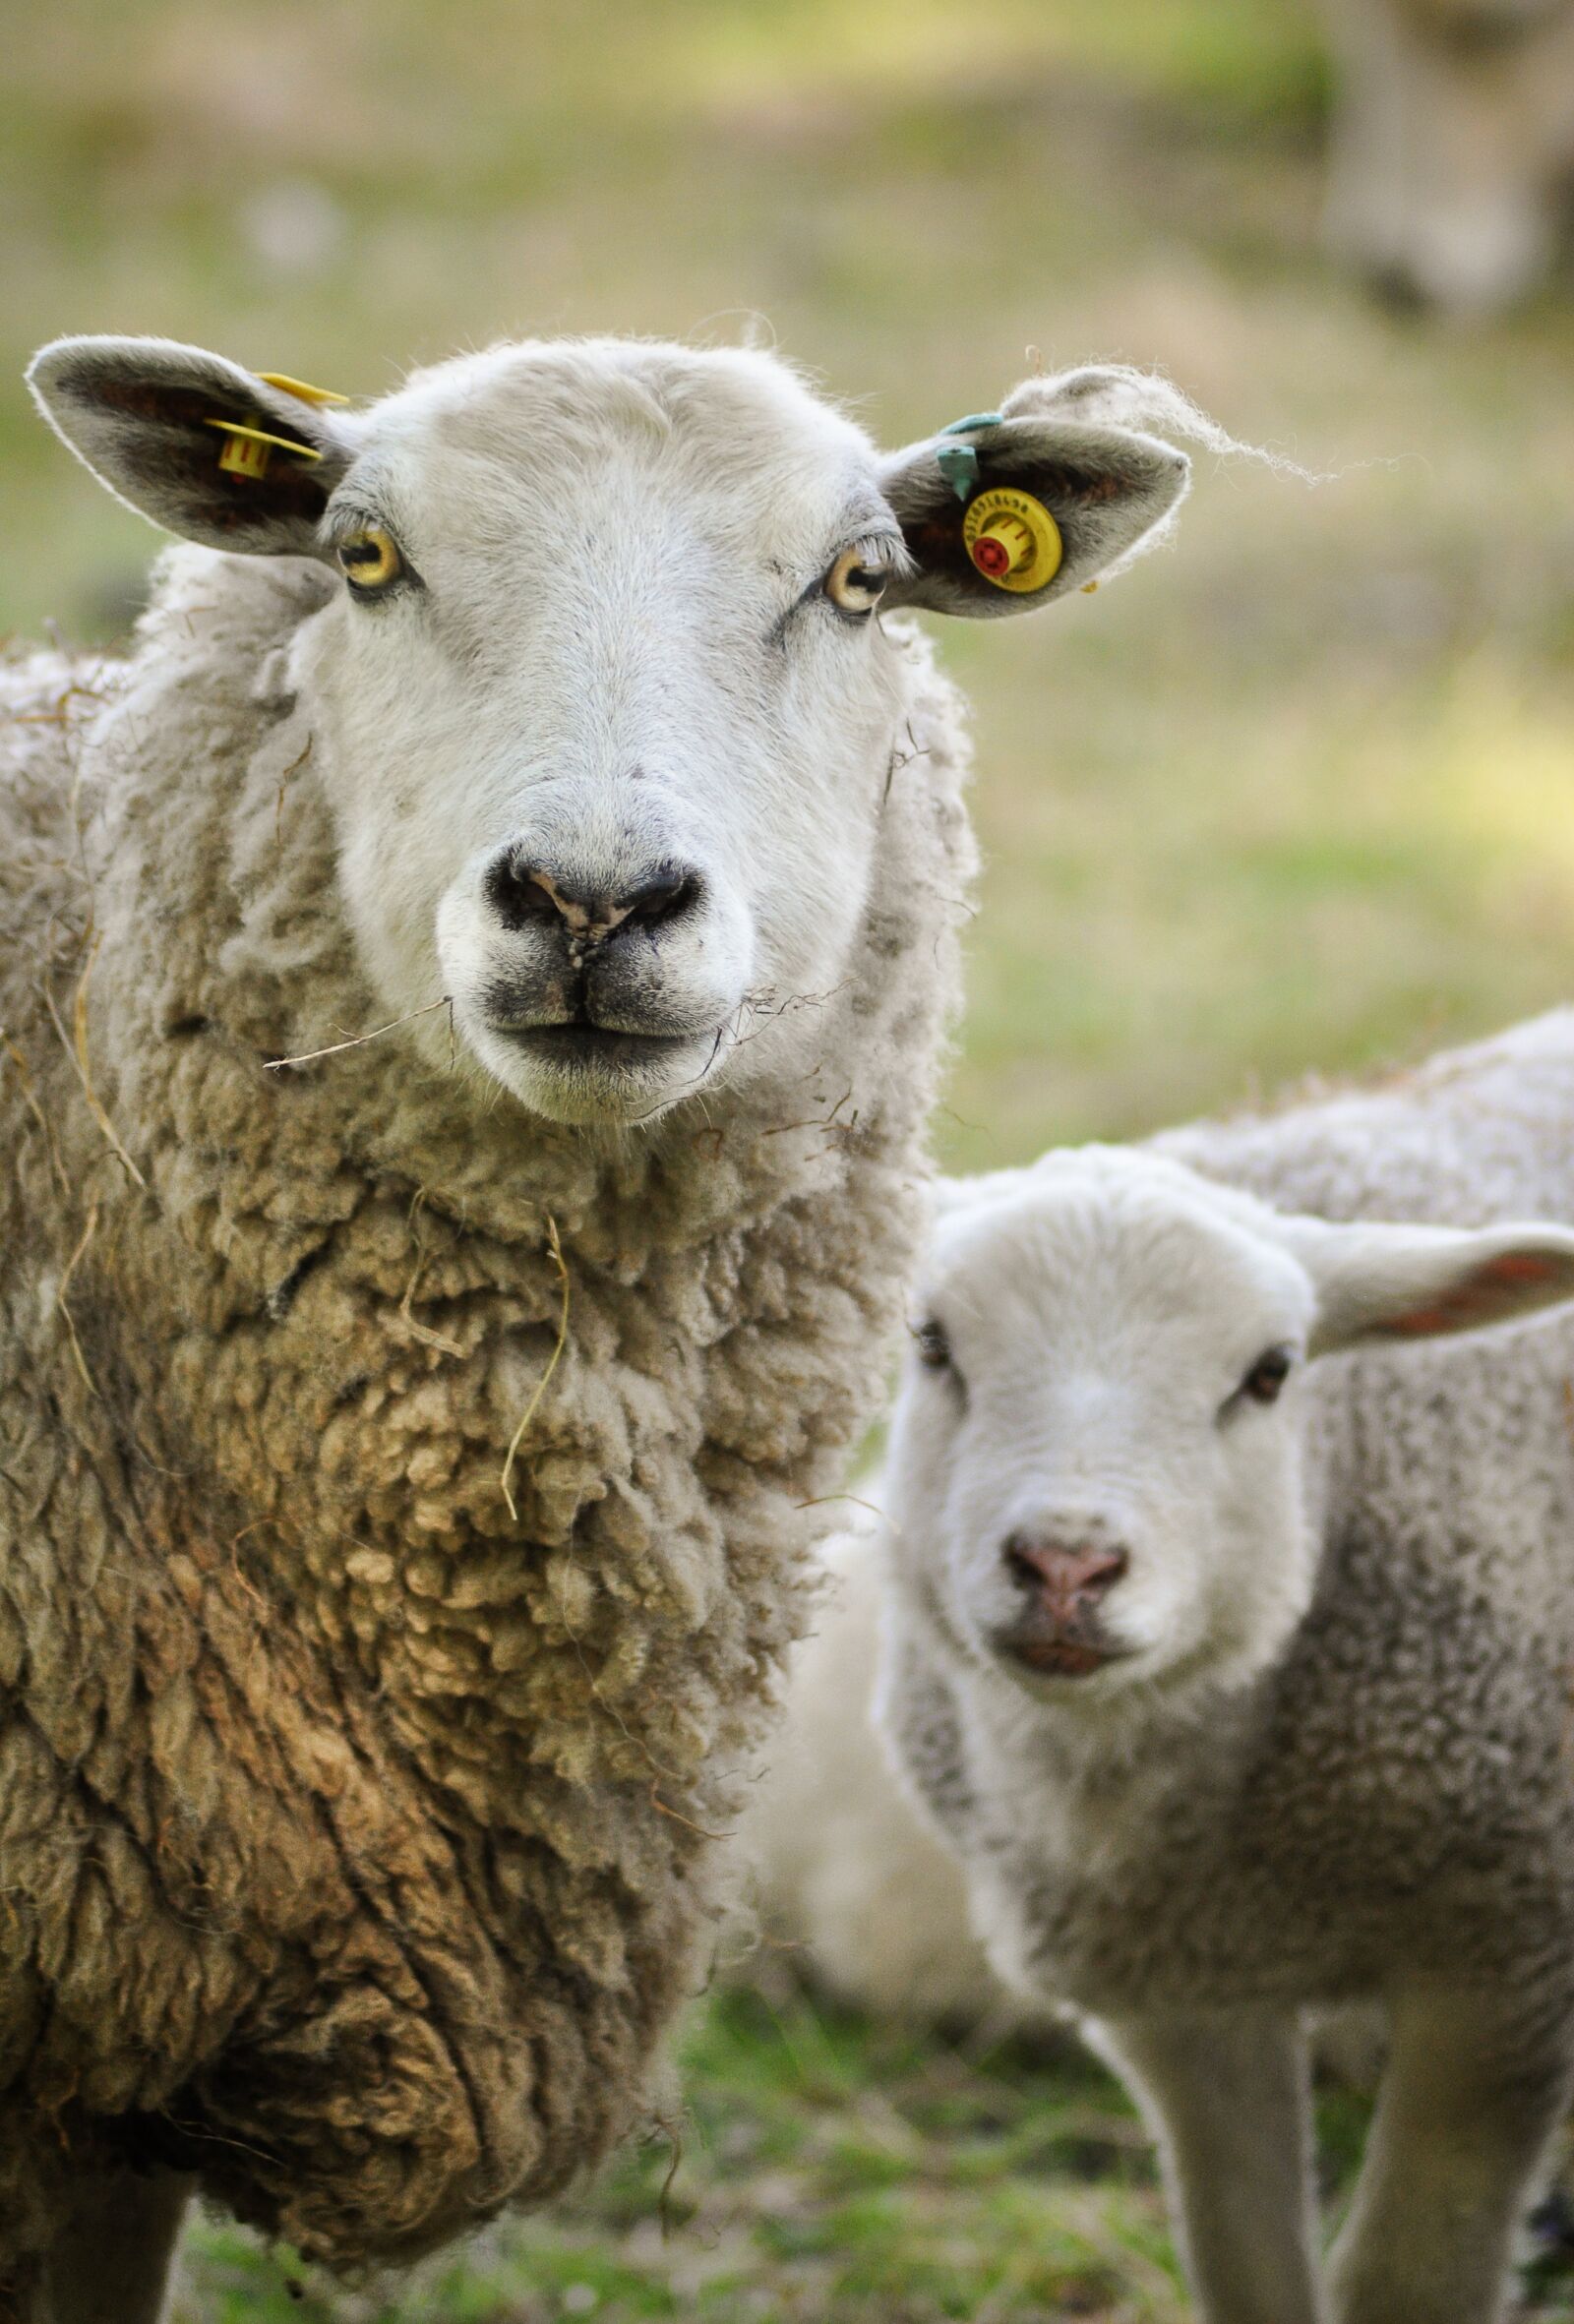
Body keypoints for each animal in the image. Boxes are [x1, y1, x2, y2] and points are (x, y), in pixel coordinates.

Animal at [875, 1034, 1574, 2324]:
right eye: (931, 1341)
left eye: (1270, 1372)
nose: (1066, 1564)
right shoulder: (1178, 2001)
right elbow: (1247, 2263)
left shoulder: (1503, 1960)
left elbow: (1405, 2279)